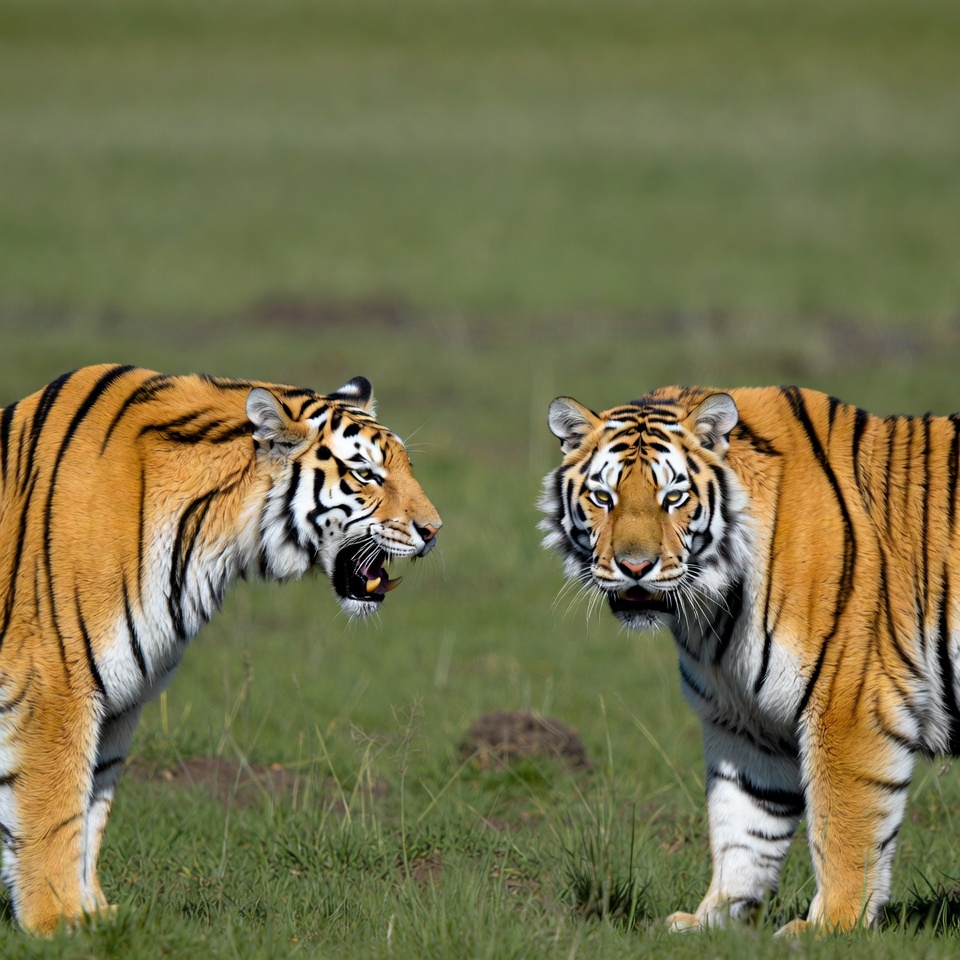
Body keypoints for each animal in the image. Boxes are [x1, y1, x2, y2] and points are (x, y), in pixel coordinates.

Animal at [0, 364, 441, 935]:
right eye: (366, 474)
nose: (434, 531)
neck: (211, 537)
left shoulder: (121, 696)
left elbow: (92, 808)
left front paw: (96, 914)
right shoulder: (56, 684)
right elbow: (54, 808)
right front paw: (57, 923)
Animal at [540, 383, 960, 936]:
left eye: (673, 498)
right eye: (603, 498)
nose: (635, 567)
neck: (714, 607)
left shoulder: (850, 706)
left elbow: (844, 825)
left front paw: (829, 928)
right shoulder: (743, 718)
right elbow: (743, 826)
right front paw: (713, 918)